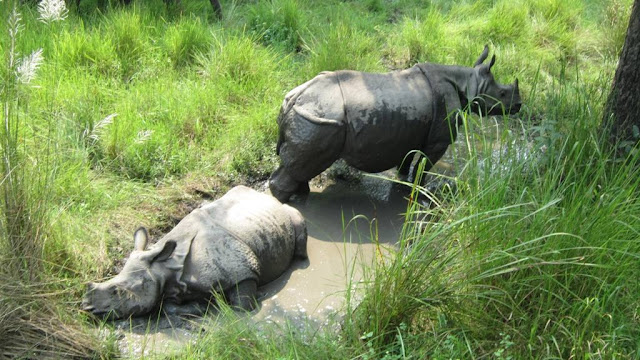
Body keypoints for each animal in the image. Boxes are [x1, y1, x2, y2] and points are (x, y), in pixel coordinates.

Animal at [82, 186, 308, 318]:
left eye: (117, 291)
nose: (87, 308)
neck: (165, 266)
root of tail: (267, 197)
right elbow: (169, 305)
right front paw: (198, 307)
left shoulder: (244, 272)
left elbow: (240, 306)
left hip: (285, 214)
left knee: (297, 221)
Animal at [268, 45, 524, 202]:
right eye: (502, 94)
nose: (519, 105)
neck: (467, 82)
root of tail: (294, 98)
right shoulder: (439, 140)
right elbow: (424, 166)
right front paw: (421, 191)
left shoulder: (407, 134)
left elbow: (406, 162)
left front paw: (403, 183)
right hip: (317, 120)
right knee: (308, 162)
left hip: (309, 117)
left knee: (297, 165)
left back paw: (301, 196)